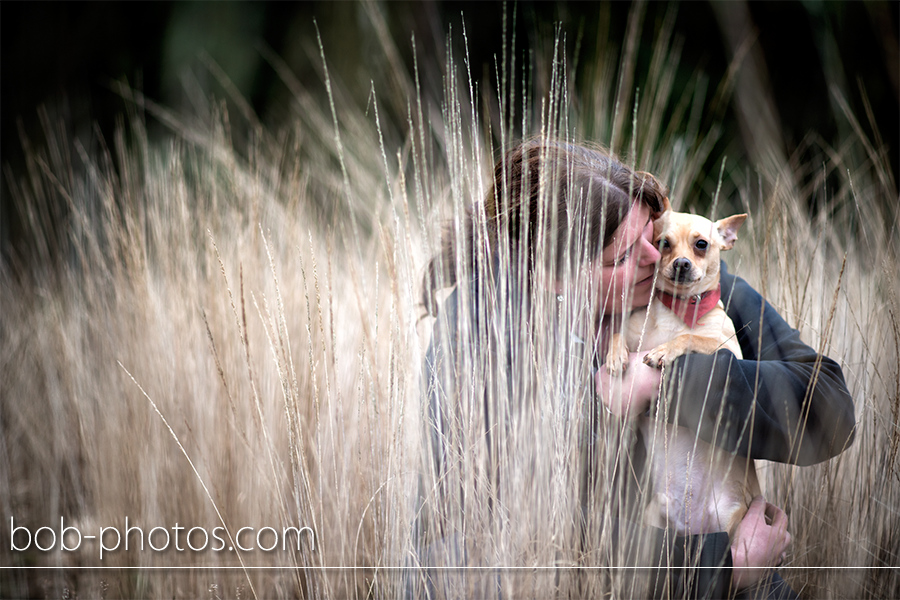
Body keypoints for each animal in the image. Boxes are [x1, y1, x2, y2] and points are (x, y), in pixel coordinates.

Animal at [604, 199, 760, 536]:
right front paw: (615, 356)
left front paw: (663, 351)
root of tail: (693, 526)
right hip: (655, 518)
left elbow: (689, 336)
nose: (682, 264)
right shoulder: (632, 331)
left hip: (732, 522)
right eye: (663, 243)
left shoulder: (728, 350)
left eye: (701, 244)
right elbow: (617, 333)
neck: (676, 309)